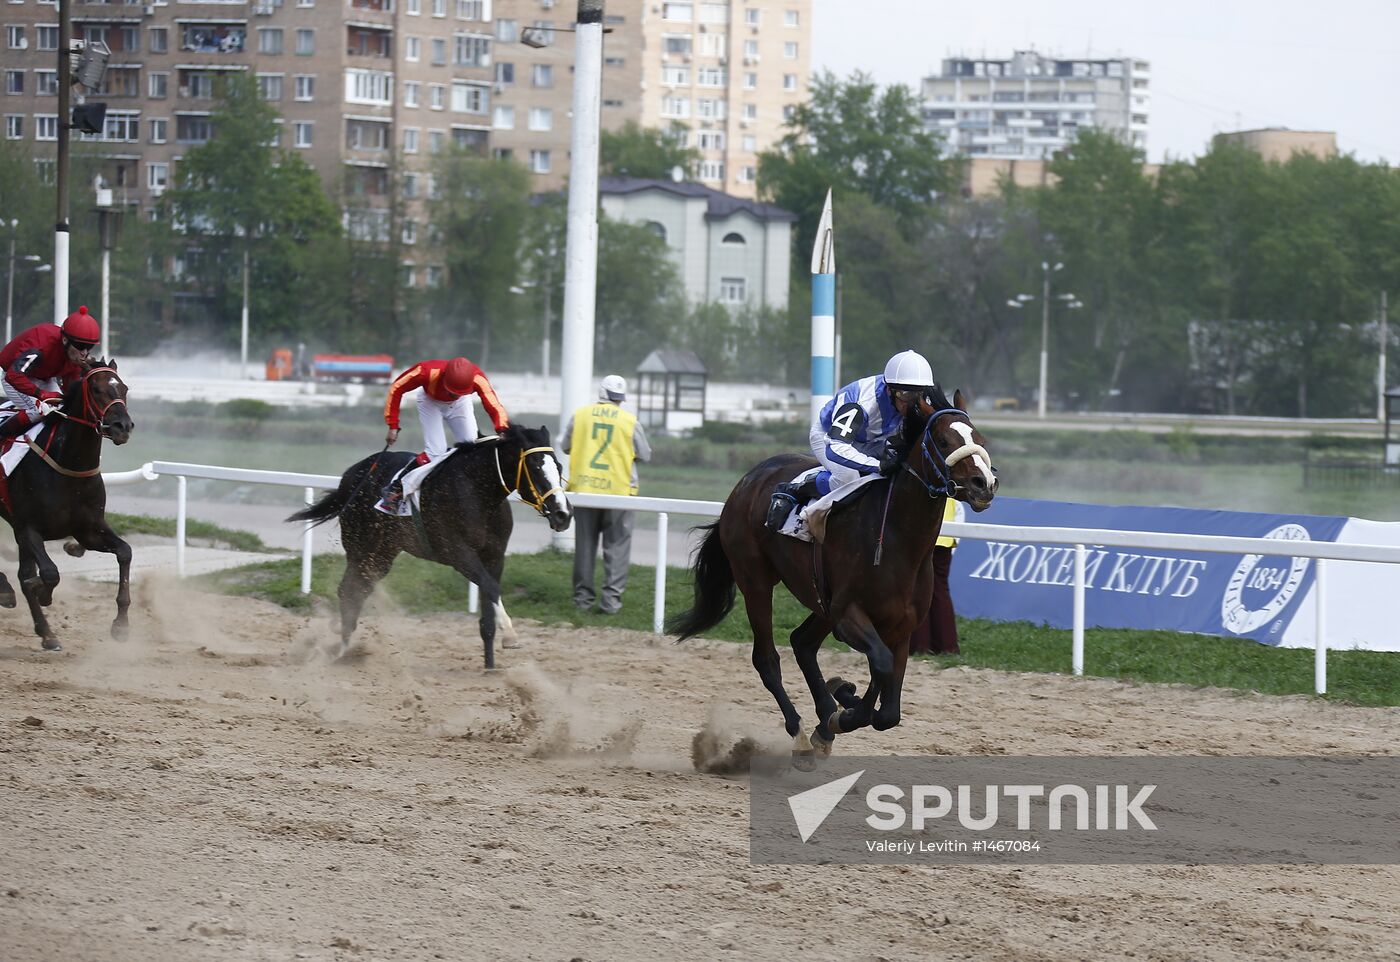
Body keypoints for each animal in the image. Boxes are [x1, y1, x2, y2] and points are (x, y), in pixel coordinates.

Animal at [0, 361, 135, 655]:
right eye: (96, 389)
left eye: (124, 388)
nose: (123, 426)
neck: (69, 467)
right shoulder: (27, 528)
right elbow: (48, 573)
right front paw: (40, 590)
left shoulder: (89, 530)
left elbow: (125, 552)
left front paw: (121, 625)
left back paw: (46, 633)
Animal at [287, 428, 571, 669]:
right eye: (535, 468)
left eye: (558, 467)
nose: (563, 514)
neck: (478, 492)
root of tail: (353, 473)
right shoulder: (458, 553)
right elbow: (491, 587)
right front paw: (511, 635)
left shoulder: (494, 556)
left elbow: (488, 603)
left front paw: (490, 665)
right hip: (361, 546)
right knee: (349, 590)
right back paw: (344, 651)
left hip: (382, 554)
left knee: (359, 589)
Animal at [669, 386, 991, 761]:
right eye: (942, 440)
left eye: (979, 437)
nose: (984, 483)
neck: (896, 540)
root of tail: (745, 483)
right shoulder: (848, 615)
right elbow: (880, 668)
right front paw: (842, 713)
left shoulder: (902, 626)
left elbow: (888, 708)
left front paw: (839, 701)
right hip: (757, 582)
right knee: (767, 658)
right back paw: (800, 730)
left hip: (820, 600)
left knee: (802, 642)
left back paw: (824, 711)